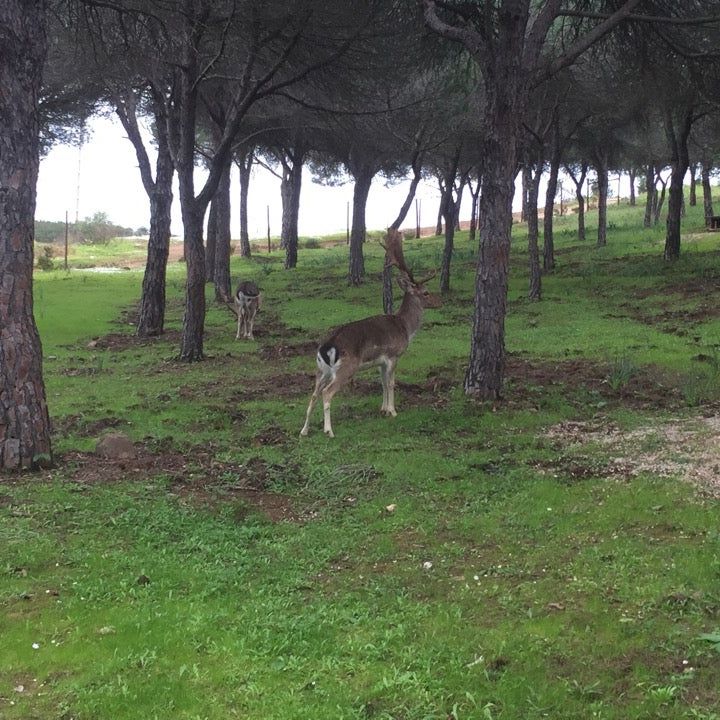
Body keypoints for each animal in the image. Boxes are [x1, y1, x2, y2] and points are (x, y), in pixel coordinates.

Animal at [298, 229, 438, 438]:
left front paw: (383, 409)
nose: (439, 302)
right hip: (346, 367)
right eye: (426, 292)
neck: (405, 327)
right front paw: (392, 411)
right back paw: (329, 430)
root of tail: (327, 346)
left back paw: (304, 430)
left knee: (314, 394)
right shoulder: (393, 355)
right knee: (327, 393)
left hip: (321, 370)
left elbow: (382, 383)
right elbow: (391, 383)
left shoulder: (380, 362)